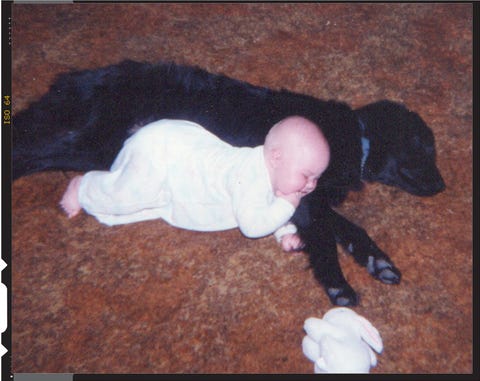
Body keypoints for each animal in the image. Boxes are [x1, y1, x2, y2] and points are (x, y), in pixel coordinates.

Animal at [12, 60, 446, 306]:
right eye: (424, 151)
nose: (443, 187)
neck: (354, 136)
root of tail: (80, 81)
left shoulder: (311, 199)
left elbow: (349, 228)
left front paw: (376, 260)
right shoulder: (306, 199)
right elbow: (325, 239)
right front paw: (338, 286)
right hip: (88, 142)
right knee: (28, 148)